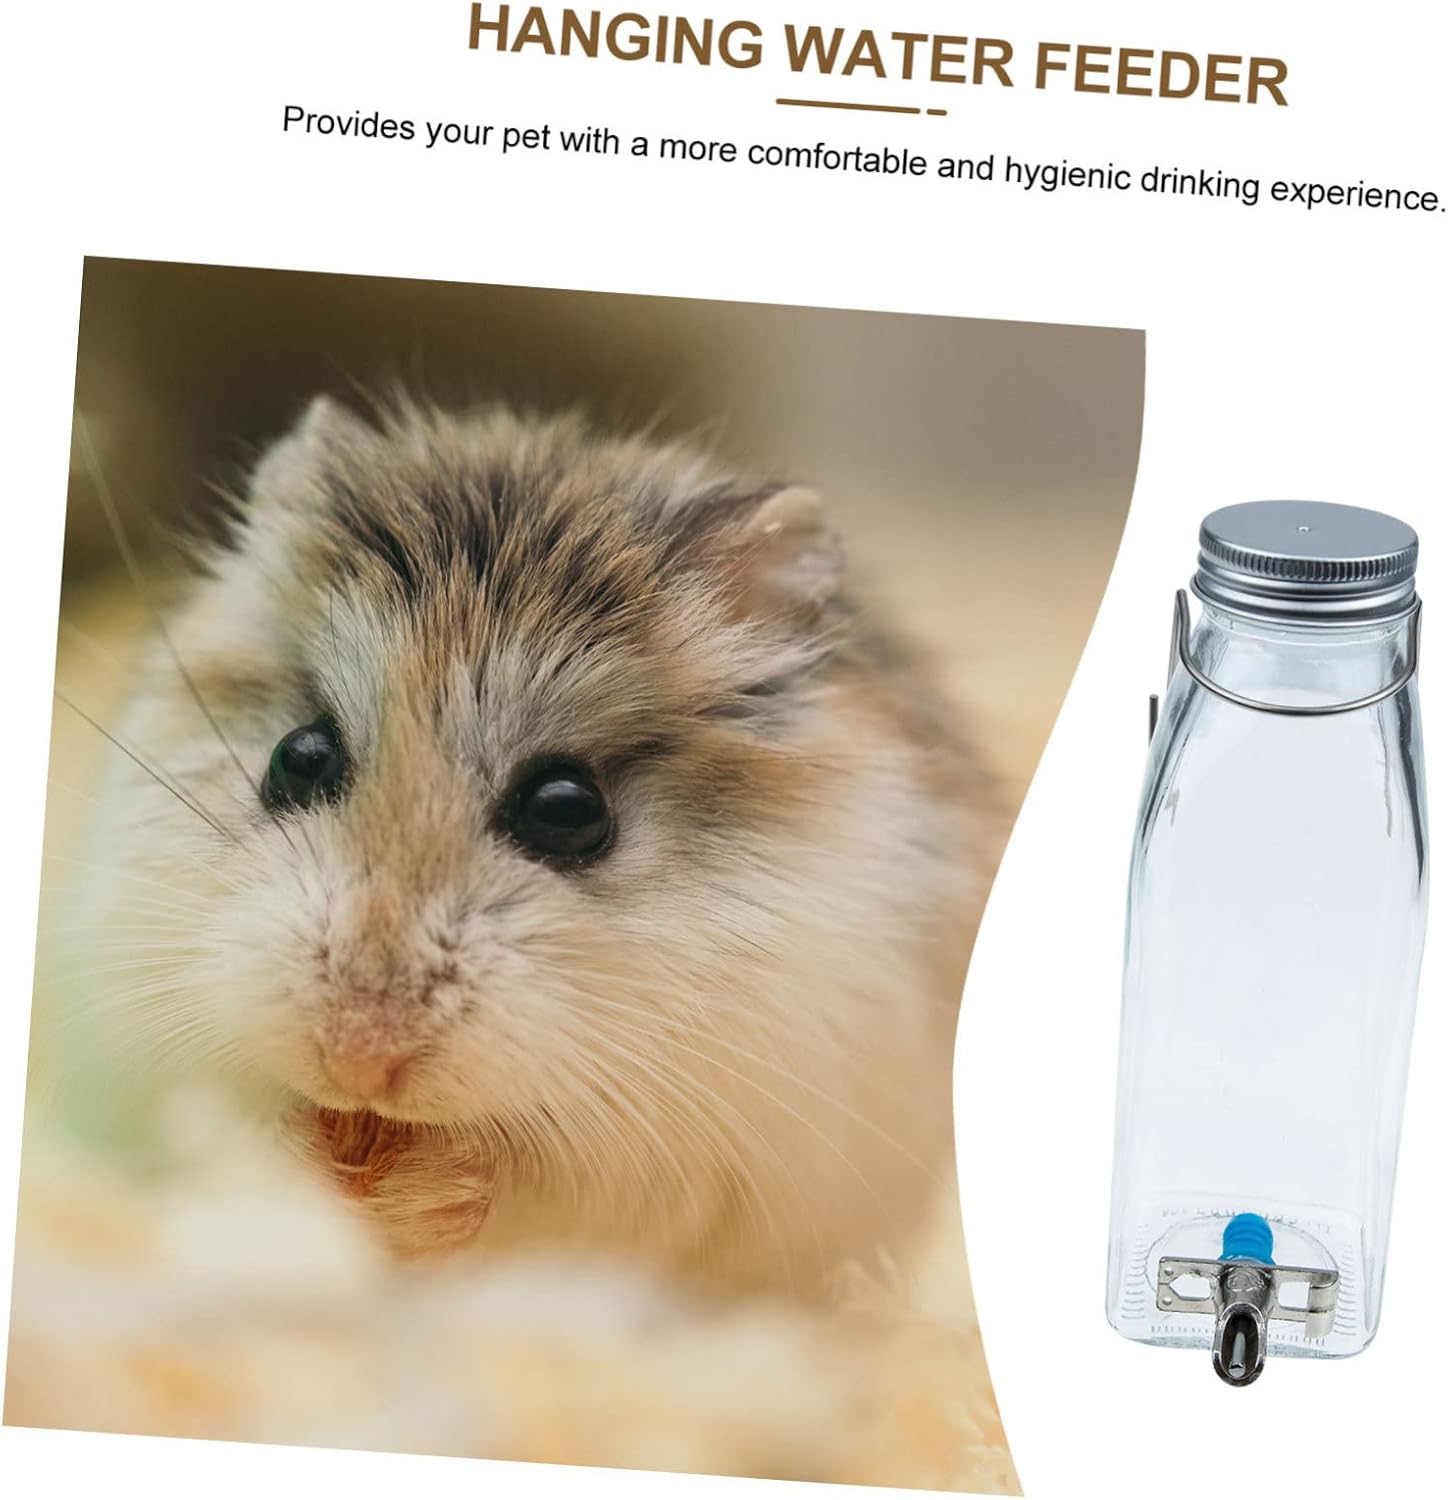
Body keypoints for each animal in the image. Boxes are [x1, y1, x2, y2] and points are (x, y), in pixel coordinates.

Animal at [61, 395, 996, 1299]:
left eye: (567, 809)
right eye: (299, 756)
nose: (358, 1060)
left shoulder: (693, 1148)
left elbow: (530, 1186)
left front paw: (415, 1196)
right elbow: (221, 1125)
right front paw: (312, 1164)